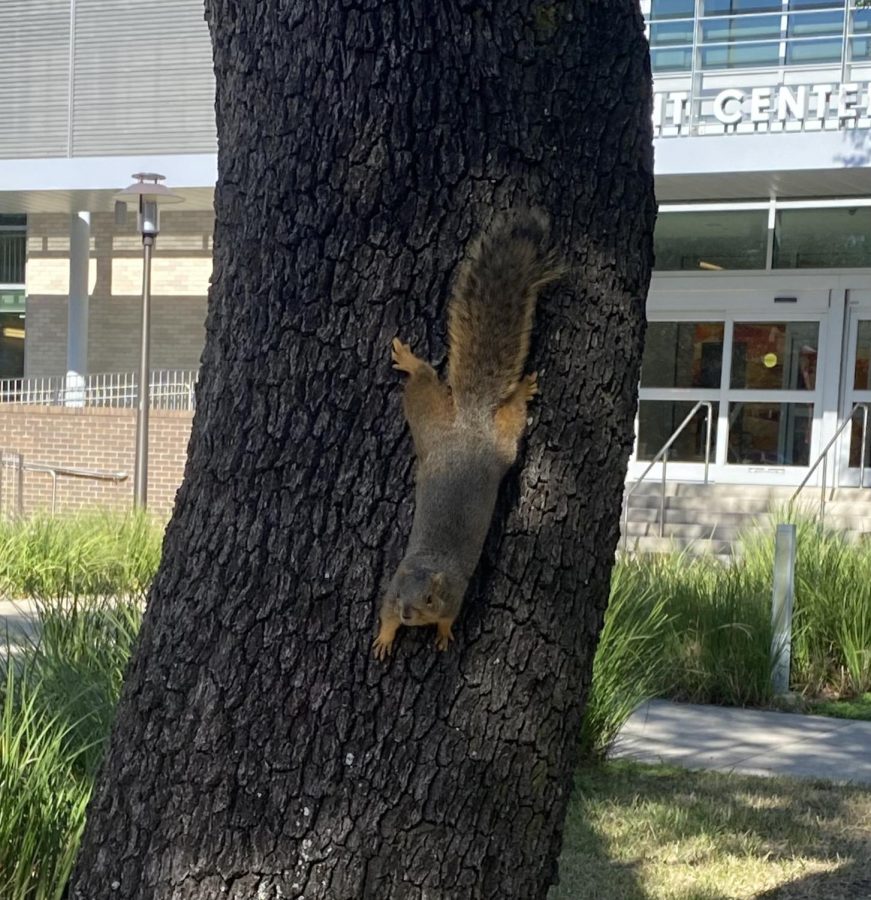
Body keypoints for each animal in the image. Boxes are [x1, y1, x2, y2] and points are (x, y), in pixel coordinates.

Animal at [372, 211, 564, 660]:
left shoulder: (455, 596)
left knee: (500, 413)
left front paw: (441, 634)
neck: (428, 563)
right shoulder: (389, 591)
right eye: (401, 594)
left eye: (428, 598)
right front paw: (386, 636)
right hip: (429, 424)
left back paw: (519, 391)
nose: (408, 614)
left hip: (486, 440)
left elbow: (449, 618)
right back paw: (411, 361)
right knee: (425, 382)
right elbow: (383, 616)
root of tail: (468, 426)